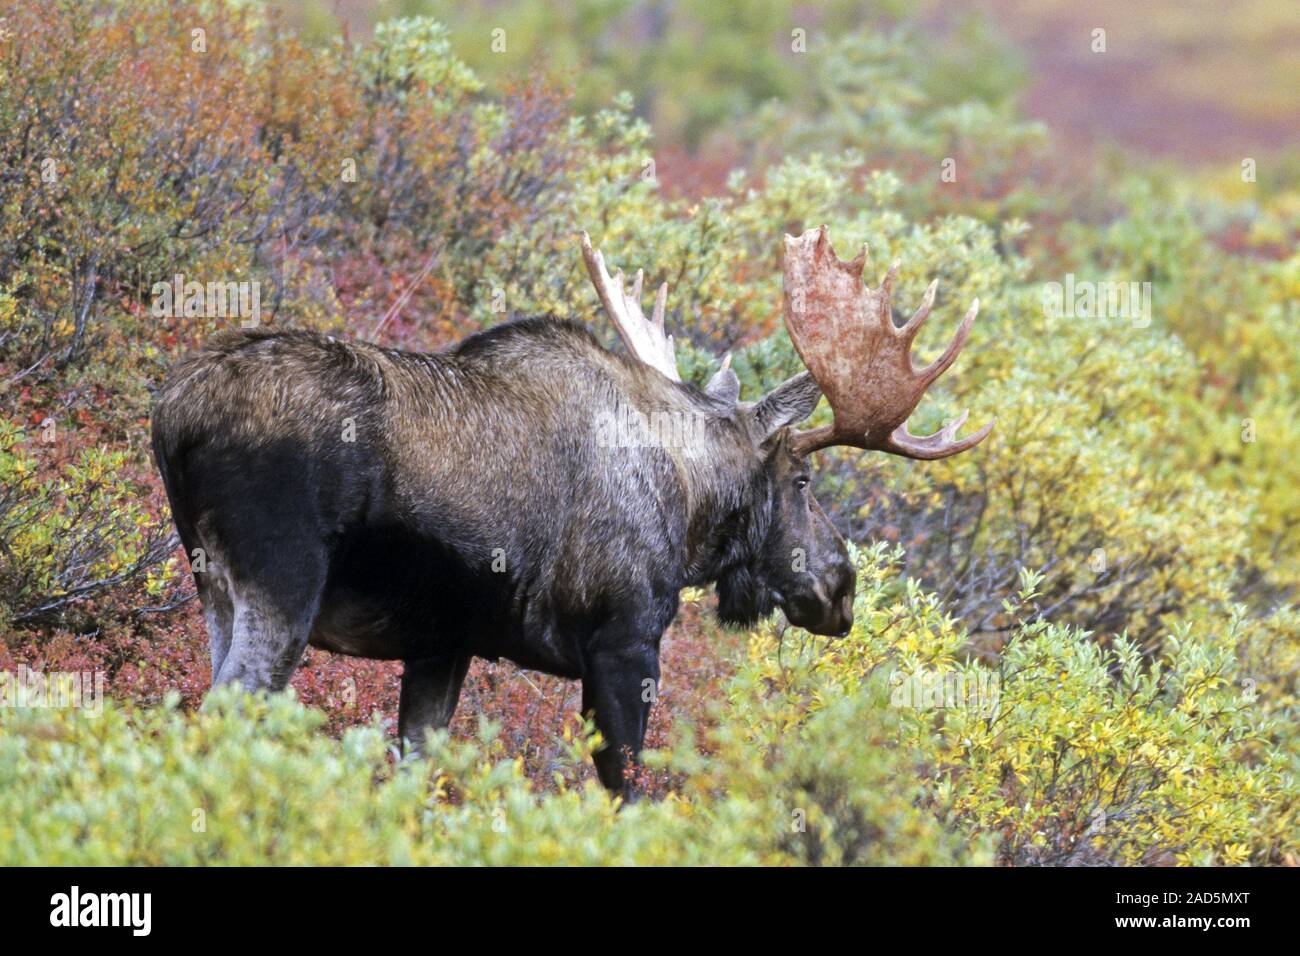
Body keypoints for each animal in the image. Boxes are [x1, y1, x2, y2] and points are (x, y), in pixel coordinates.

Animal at [149, 227, 982, 796]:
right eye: (803, 478)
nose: (842, 587)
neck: (689, 510)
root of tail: (172, 414)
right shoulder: (624, 642)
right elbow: (627, 789)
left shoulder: (443, 644)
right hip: (280, 587)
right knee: (221, 715)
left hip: (213, 586)